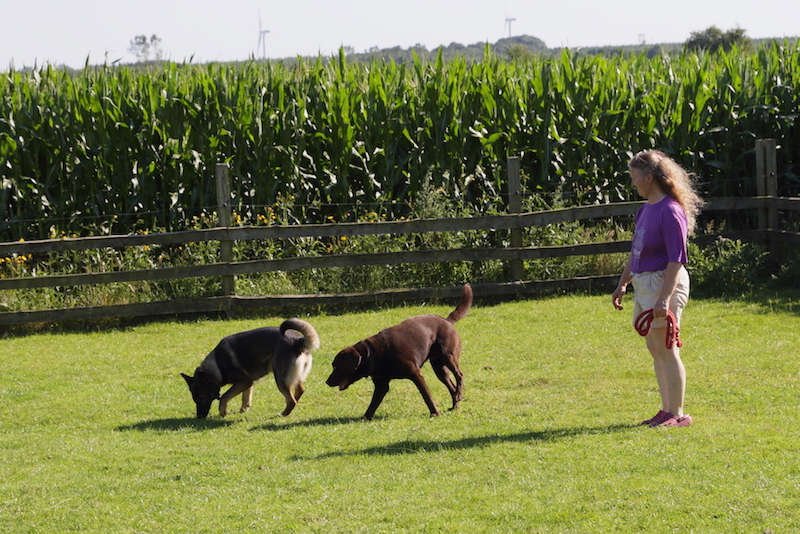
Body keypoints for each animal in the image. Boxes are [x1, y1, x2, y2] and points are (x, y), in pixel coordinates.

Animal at [181, 320, 318, 420]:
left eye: (202, 397)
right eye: (195, 399)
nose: (199, 417)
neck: (217, 366)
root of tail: (299, 341)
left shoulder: (244, 381)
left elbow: (225, 396)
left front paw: (223, 412)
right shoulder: (248, 382)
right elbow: (245, 397)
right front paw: (243, 410)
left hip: (280, 379)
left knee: (291, 400)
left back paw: (282, 414)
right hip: (294, 377)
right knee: (299, 391)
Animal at [328, 286, 472, 420]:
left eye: (337, 366)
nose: (327, 382)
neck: (372, 354)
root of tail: (446, 320)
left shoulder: (416, 374)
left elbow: (426, 395)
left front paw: (434, 413)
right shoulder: (381, 385)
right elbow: (373, 404)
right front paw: (365, 417)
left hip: (448, 356)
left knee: (459, 375)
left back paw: (458, 395)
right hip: (438, 366)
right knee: (451, 385)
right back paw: (455, 405)